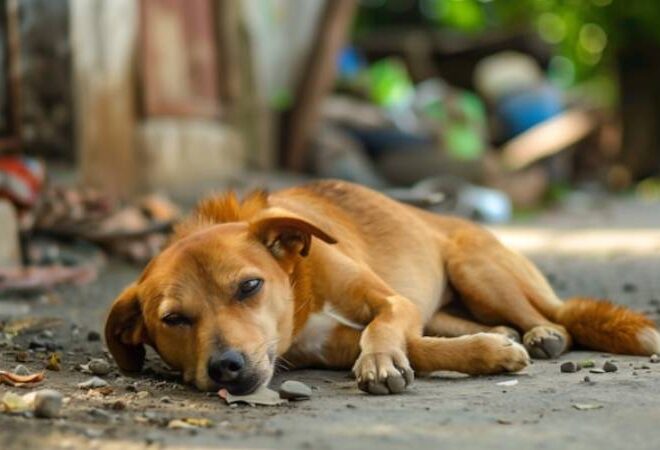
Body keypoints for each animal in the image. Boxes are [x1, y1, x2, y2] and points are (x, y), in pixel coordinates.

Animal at [104, 179, 660, 394]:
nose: (226, 367)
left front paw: (379, 362)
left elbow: (384, 328)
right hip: (451, 299)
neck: (301, 288)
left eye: (249, 286)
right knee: (464, 322)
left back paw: (543, 333)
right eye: (173, 320)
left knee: (552, 316)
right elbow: (420, 346)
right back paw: (503, 333)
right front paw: (487, 352)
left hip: (477, 268)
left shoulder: (392, 301)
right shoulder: (326, 346)